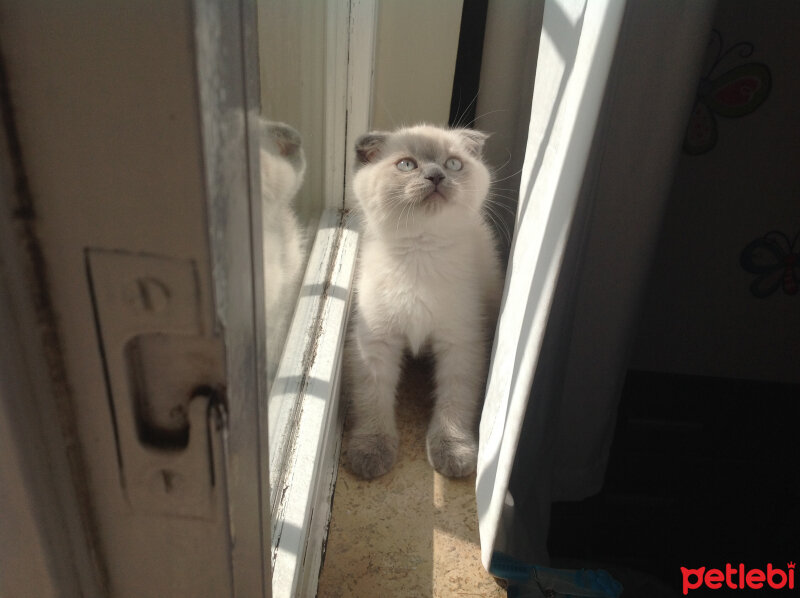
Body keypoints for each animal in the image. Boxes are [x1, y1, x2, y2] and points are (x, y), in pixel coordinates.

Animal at [346, 124, 504, 480]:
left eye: (453, 164)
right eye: (407, 165)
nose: (436, 176)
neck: (421, 252)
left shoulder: (460, 342)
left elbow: (455, 400)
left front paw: (454, 453)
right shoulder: (375, 342)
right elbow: (372, 397)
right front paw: (370, 451)